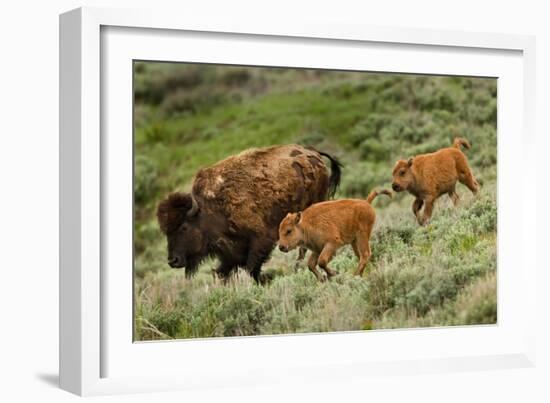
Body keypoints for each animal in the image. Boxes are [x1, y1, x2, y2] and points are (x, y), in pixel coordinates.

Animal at [157, 145, 342, 284]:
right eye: (166, 232)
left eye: (183, 227)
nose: (172, 260)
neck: (208, 209)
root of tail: (313, 153)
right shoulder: (229, 253)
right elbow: (223, 271)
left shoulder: (260, 240)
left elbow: (251, 267)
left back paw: (299, 266)